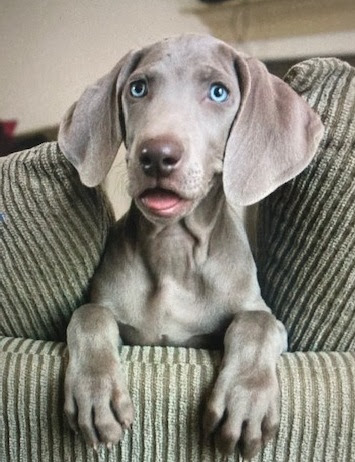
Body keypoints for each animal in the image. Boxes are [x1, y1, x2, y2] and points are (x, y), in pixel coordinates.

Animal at [59, 34, 326, 456]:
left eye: (219, 92)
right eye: (137, 88)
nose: (156, 156)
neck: (174, 248)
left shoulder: (261, 315)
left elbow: (257, 323)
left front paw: (244, 400)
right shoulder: (116, 318)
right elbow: (89, 314)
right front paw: (95, 392)